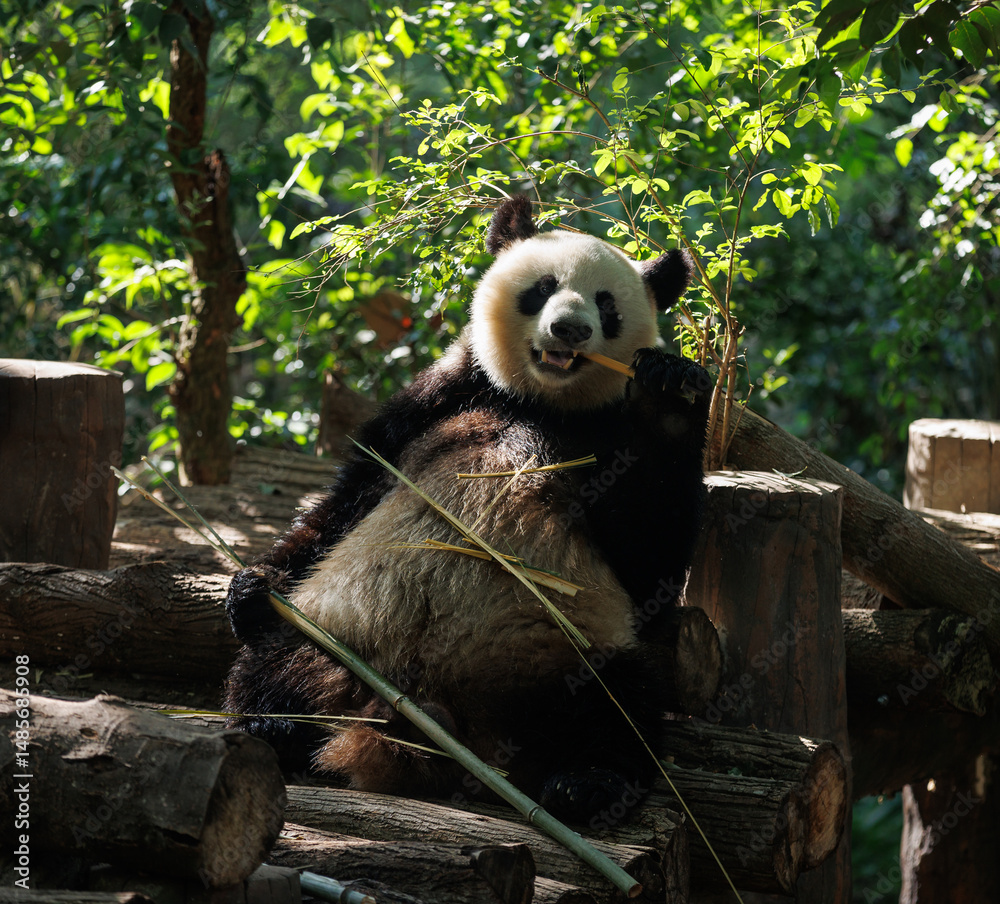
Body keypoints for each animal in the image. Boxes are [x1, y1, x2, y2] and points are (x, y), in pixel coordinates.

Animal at [224, 195, 710, 824]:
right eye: (543, 288)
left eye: (606, 305)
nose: (571, 328)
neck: (537, 402)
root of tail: (440, 721)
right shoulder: (443, 395)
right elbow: (350, 495)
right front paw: (252, 588)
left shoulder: (608, 441)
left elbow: (650, 559)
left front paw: (672, 391)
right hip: (342, 633)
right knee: (278, 659)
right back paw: (275, 724)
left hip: (566, 654)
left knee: (621, 704)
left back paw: (587, 783)